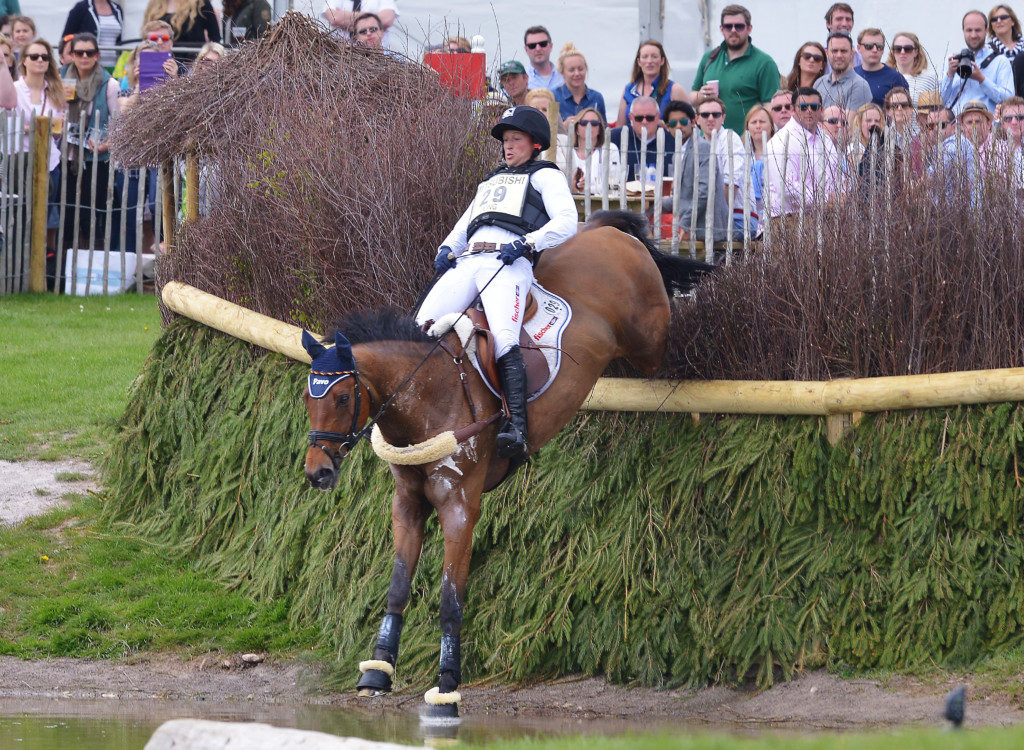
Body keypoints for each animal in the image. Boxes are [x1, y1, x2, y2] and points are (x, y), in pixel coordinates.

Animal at [299, 209, 708, 713]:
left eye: (340, 398)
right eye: (308, 398)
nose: (317, 472)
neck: (428, 396)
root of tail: (604, 231)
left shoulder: (459, 507)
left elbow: (450, 599)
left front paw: (447, 684)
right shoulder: (407, 503)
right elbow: (397, 586)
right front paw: (378, 670)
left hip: (648, 340)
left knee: (669, 333)